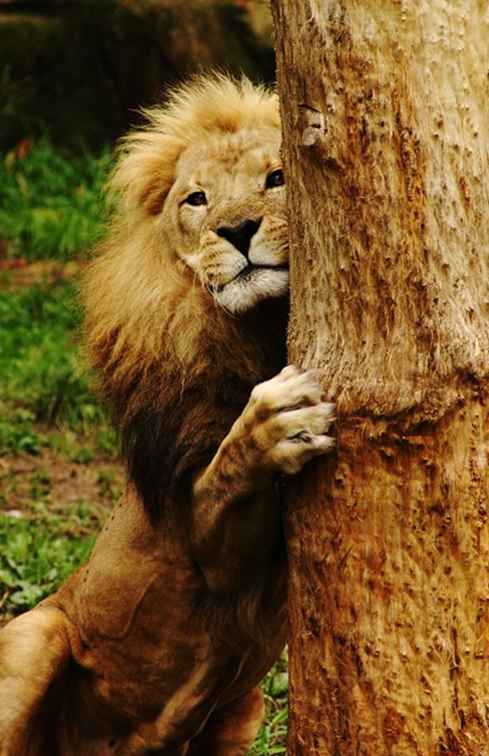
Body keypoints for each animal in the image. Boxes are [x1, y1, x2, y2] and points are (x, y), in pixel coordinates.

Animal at [0, 74, 334, 752]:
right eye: (197, 200)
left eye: (276, 178)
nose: (237, 229)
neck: (262, 325)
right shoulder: (204, 541)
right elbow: (230, 463)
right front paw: (275, 421)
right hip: (32, 635)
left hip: (239, 711)